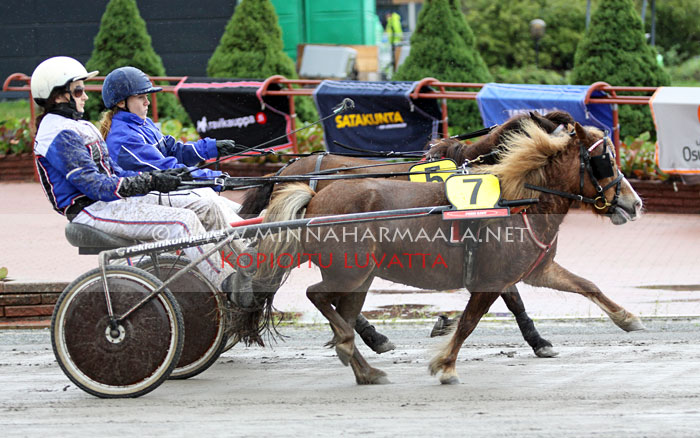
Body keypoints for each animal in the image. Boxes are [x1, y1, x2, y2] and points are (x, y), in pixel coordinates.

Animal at [254, 120, 644, 384]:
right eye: (606, 161)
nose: (635, 202)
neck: (517, 200)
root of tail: (314, 196)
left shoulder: (537, 270)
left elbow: (585, 285)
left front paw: (626, 318)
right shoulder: (491, 279)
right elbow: (469, 322)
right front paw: (445, 365)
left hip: (359, 278)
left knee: (344, 313)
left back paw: (364, 367)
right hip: (349, 271)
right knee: (317, 296)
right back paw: (353, 347)